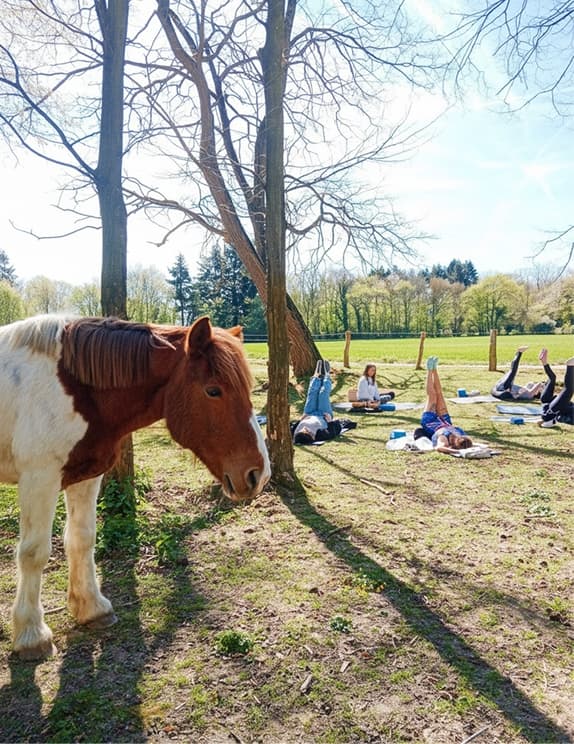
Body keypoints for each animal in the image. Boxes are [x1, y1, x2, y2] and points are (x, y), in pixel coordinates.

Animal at [0, 314, 270, 660]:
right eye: (213, 391)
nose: (259, 474)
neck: (75, 388)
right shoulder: (40, 477)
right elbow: (34, 553)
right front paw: (32, 634)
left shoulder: (86, 475)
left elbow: (81, 540)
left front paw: (92, 608)